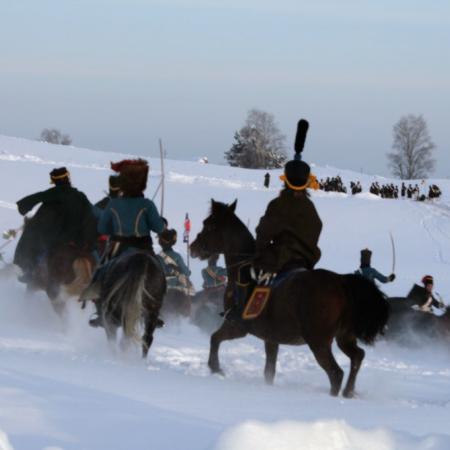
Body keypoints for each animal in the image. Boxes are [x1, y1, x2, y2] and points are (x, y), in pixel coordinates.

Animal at [188, 200, 388, 398]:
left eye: (209, 225)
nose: (192, 247)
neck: (243, 273)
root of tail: (340, 282)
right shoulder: (270, 338)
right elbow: (269, 370)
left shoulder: (236, 326)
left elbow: (214, 338)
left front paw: (215, 368)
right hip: (344, 337)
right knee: (357, 356)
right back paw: (348, 392)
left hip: (319, 342)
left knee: (336, 373)